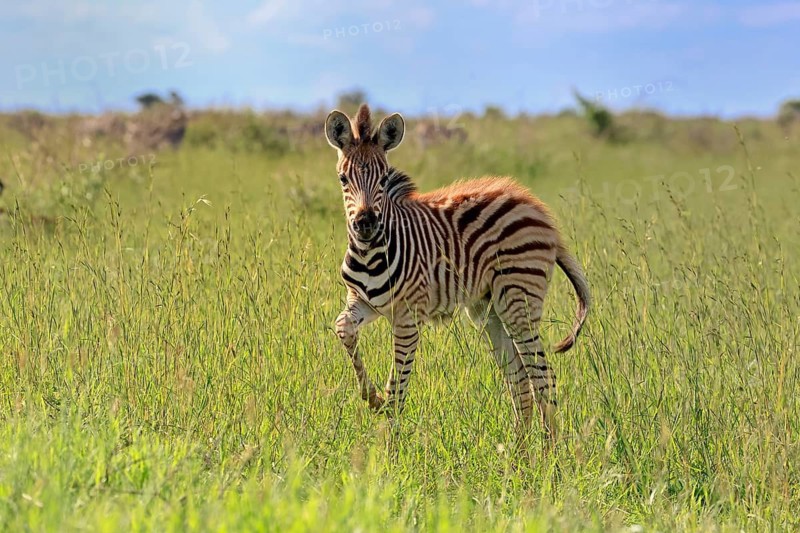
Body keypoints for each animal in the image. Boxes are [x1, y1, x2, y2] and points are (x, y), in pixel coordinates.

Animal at [327, 104, 590, 437]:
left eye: (384, 179)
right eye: (343, 179)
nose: (365, 224)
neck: (371, 252)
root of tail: (537, 208)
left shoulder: (408, 316)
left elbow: (397, 388)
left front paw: (390, 442)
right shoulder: (362, 301)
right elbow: (343, 328)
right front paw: (371, 397)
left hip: (519, 301)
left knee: (544, 378)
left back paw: (551, 451)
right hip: (490, 311)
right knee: (520, 382)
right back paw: (517, 451)